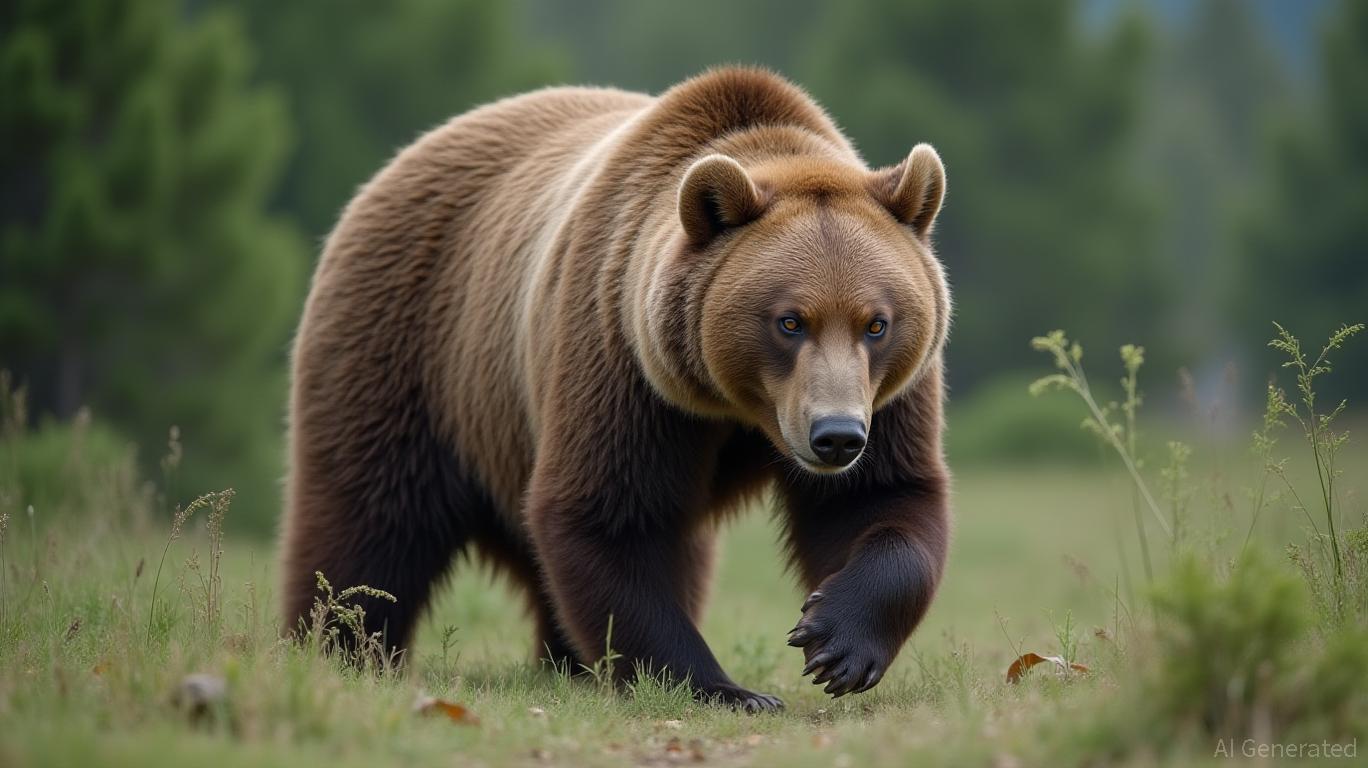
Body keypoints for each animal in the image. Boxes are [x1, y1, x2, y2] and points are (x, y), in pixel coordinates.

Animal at [280, 67, 951, 711]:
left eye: (876, 323)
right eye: (789, 321)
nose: (835, 436)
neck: (731, 407)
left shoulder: (886, 396)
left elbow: (877, 500)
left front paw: (836, 642)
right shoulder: (619, 354)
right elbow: (608, 515)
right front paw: (725, 688)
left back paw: (563, 663)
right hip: (410, 349)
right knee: (369, 519)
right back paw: (339, 645)